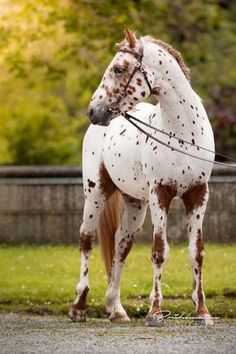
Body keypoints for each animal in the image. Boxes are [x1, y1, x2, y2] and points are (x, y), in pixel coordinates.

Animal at [68, 28, 214, 326]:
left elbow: (197, 252)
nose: (93, 110)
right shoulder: (161, 194)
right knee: (86, 239)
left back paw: (116, 309)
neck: (182, 134)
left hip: (135, 203)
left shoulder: (198, 194)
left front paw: (202, 312)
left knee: (121, 245)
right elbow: (159, 251)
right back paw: (79, 306)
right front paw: (155, 312)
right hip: (96, 192)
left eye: (119, 68)